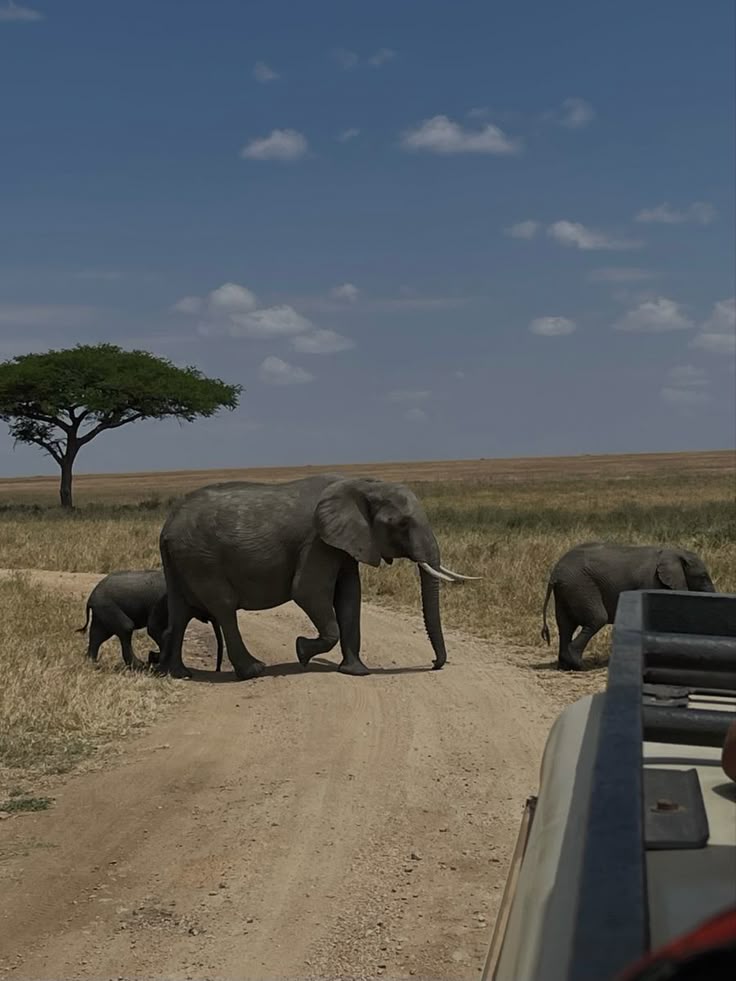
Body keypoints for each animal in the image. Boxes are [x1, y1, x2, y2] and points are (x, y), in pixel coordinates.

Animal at [77, 569, 224, 671]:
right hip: (107, 606)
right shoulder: (162, 602)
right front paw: (154, 658)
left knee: (98, 635)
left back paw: (91, 663)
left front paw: (154, 657)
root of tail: (90, 598)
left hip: (102, 611)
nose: (217, 670)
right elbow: (154, 629)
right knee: (126, 627)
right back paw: (139, 666)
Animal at [154, 473, 479, 681]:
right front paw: (301, 651)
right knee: (223, 607)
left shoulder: (345, 543)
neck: (363, 483)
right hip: (202, 559)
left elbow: (350, 596)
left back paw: (179, 674)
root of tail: (167, 526)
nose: (435, 663)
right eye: (401, 524)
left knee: (180, 611)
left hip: (180, 559)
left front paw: (356, 672)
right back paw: (253, 671)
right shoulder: (317, 541)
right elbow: (308, 591)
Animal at [541, 542, 716, 671]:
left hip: (567, 589)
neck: (675, 552)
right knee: (597, 619)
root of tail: (554, 574)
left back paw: (565, 665)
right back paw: (578, 665)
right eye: (703, 577)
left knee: (565, 625)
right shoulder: (651, 582)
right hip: (581, 586)